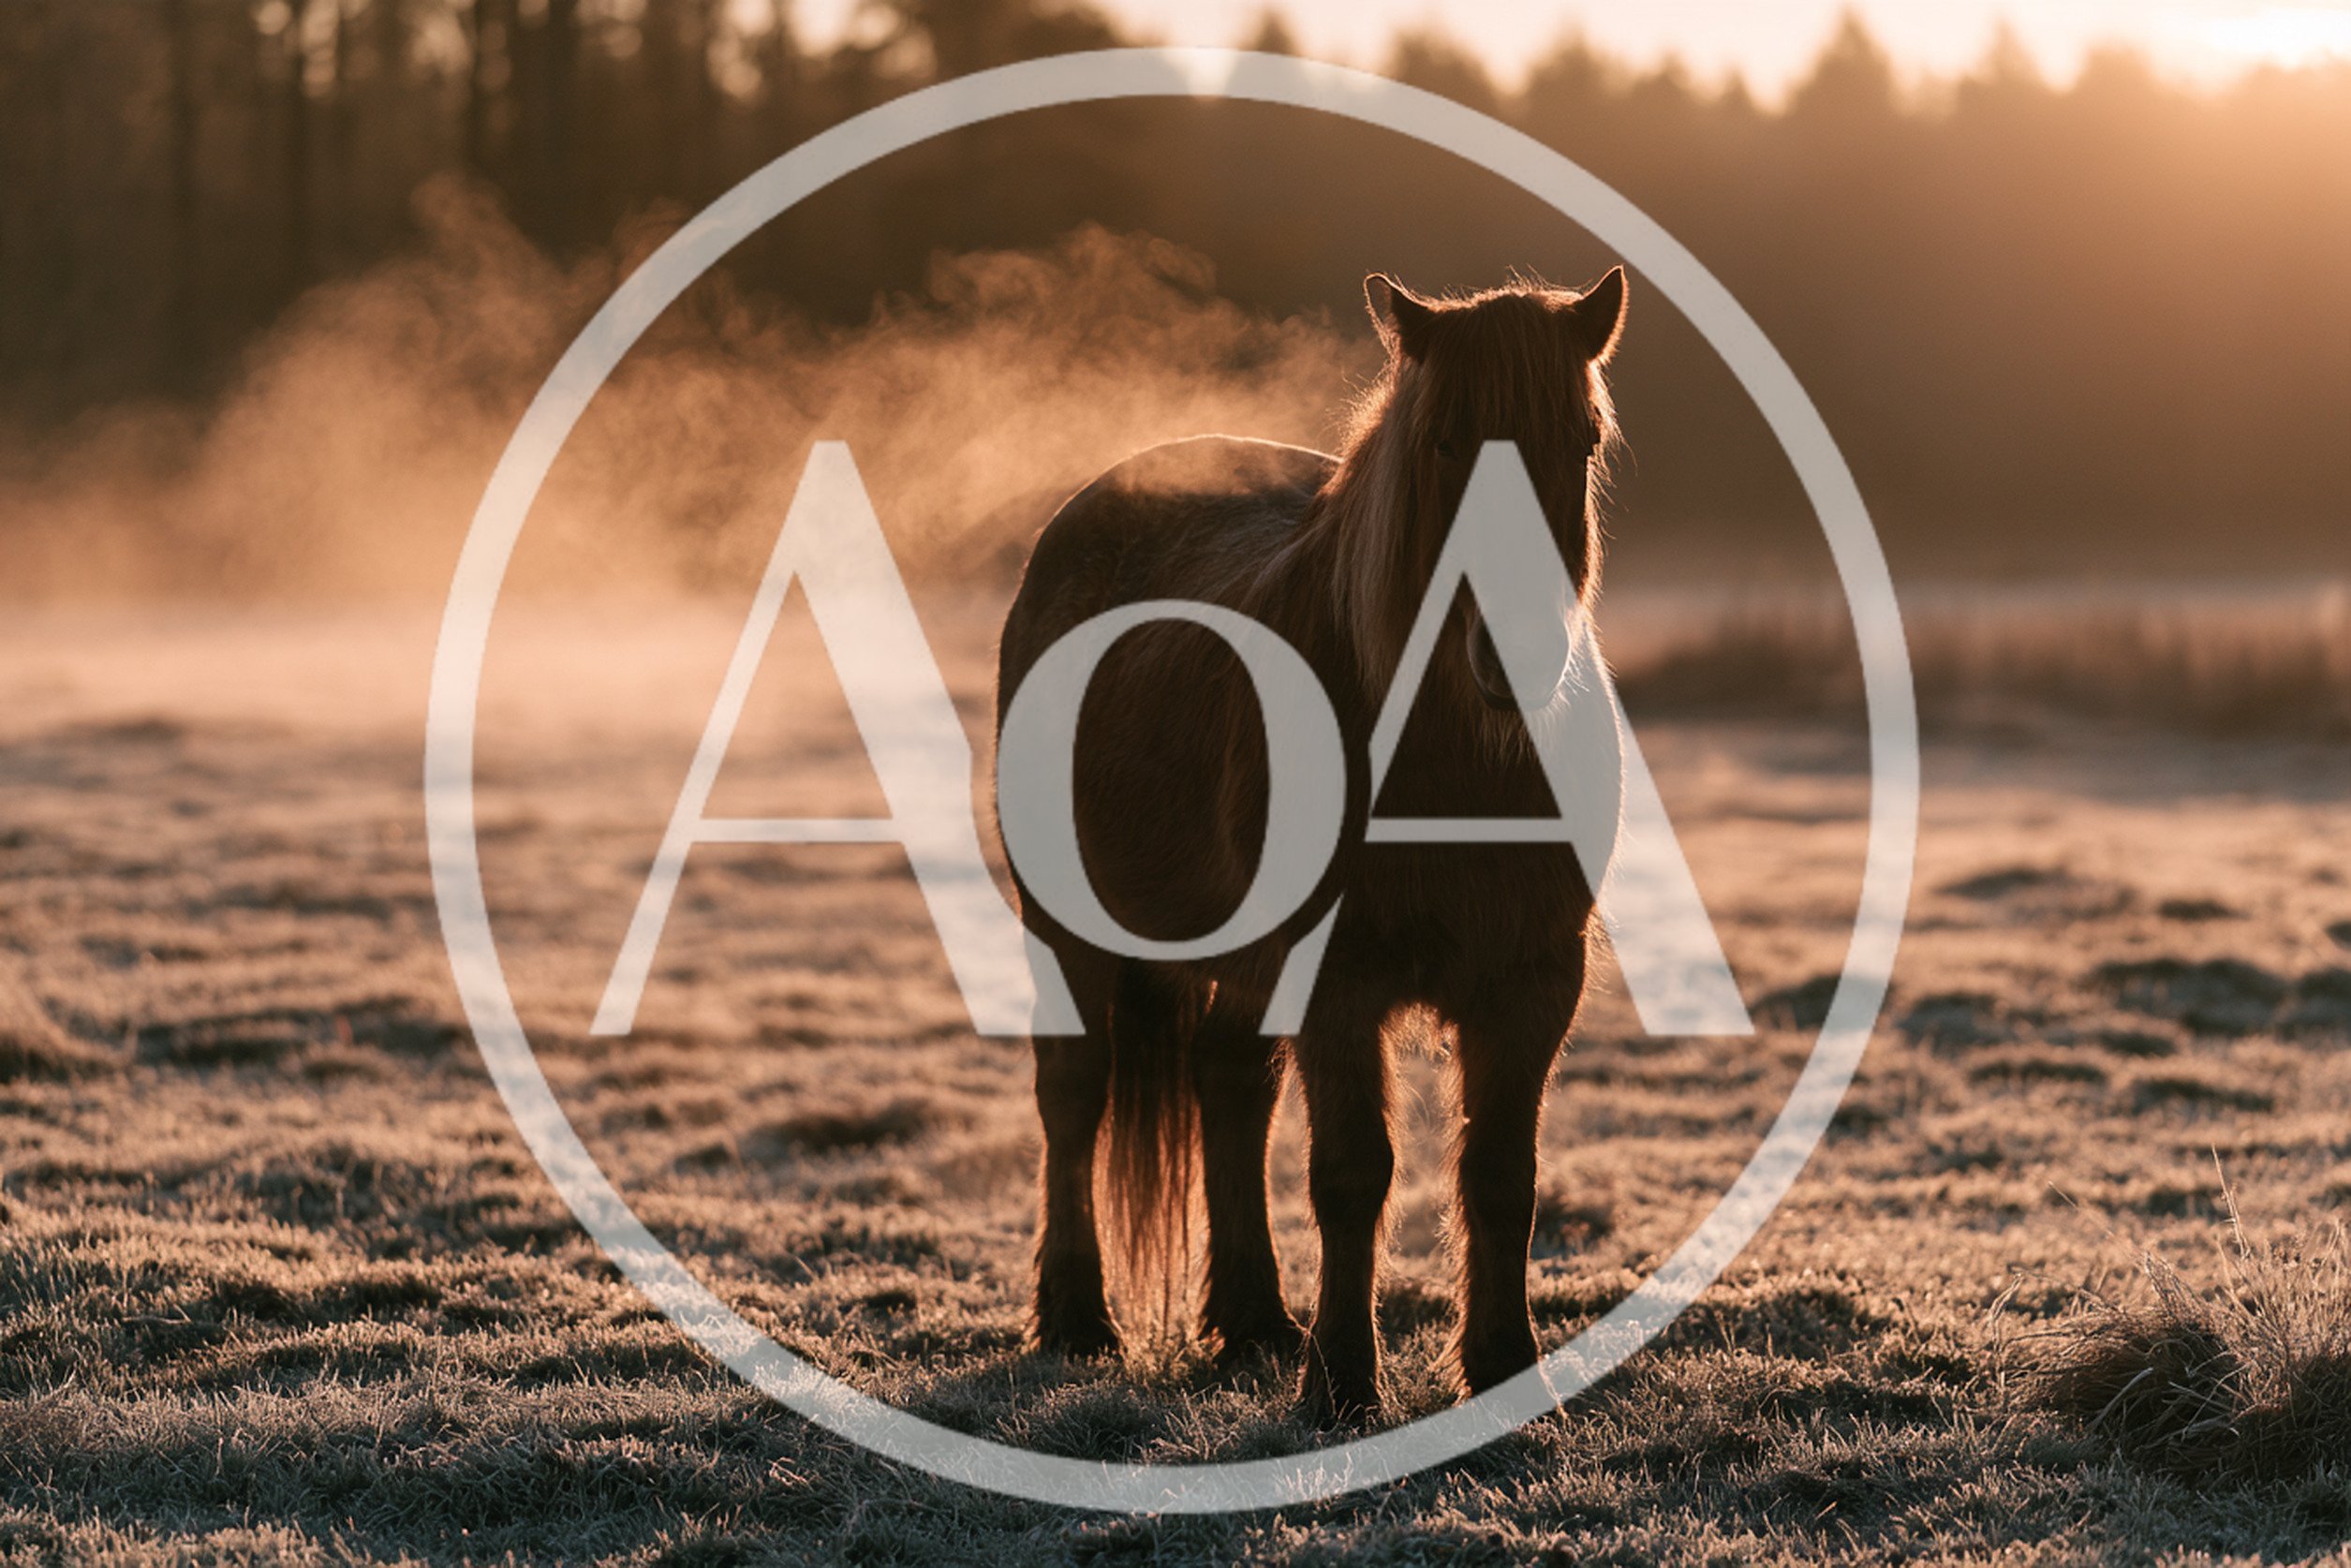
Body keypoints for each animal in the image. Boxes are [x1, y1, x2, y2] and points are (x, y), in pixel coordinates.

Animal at [993, 266, 1628, 1422]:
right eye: (1442, 444)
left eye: (1583, 438)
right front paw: (1342, 1386)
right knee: (1074, 1092)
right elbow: (1350, 1175)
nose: (1514, 654)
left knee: (1229, 1091)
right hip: (1066, 927)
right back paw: (1077, 1320)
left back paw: (1251, 1323)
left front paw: (1502, 1369)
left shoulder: (1531, 980)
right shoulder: (1337, 978)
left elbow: (1499, 1177)